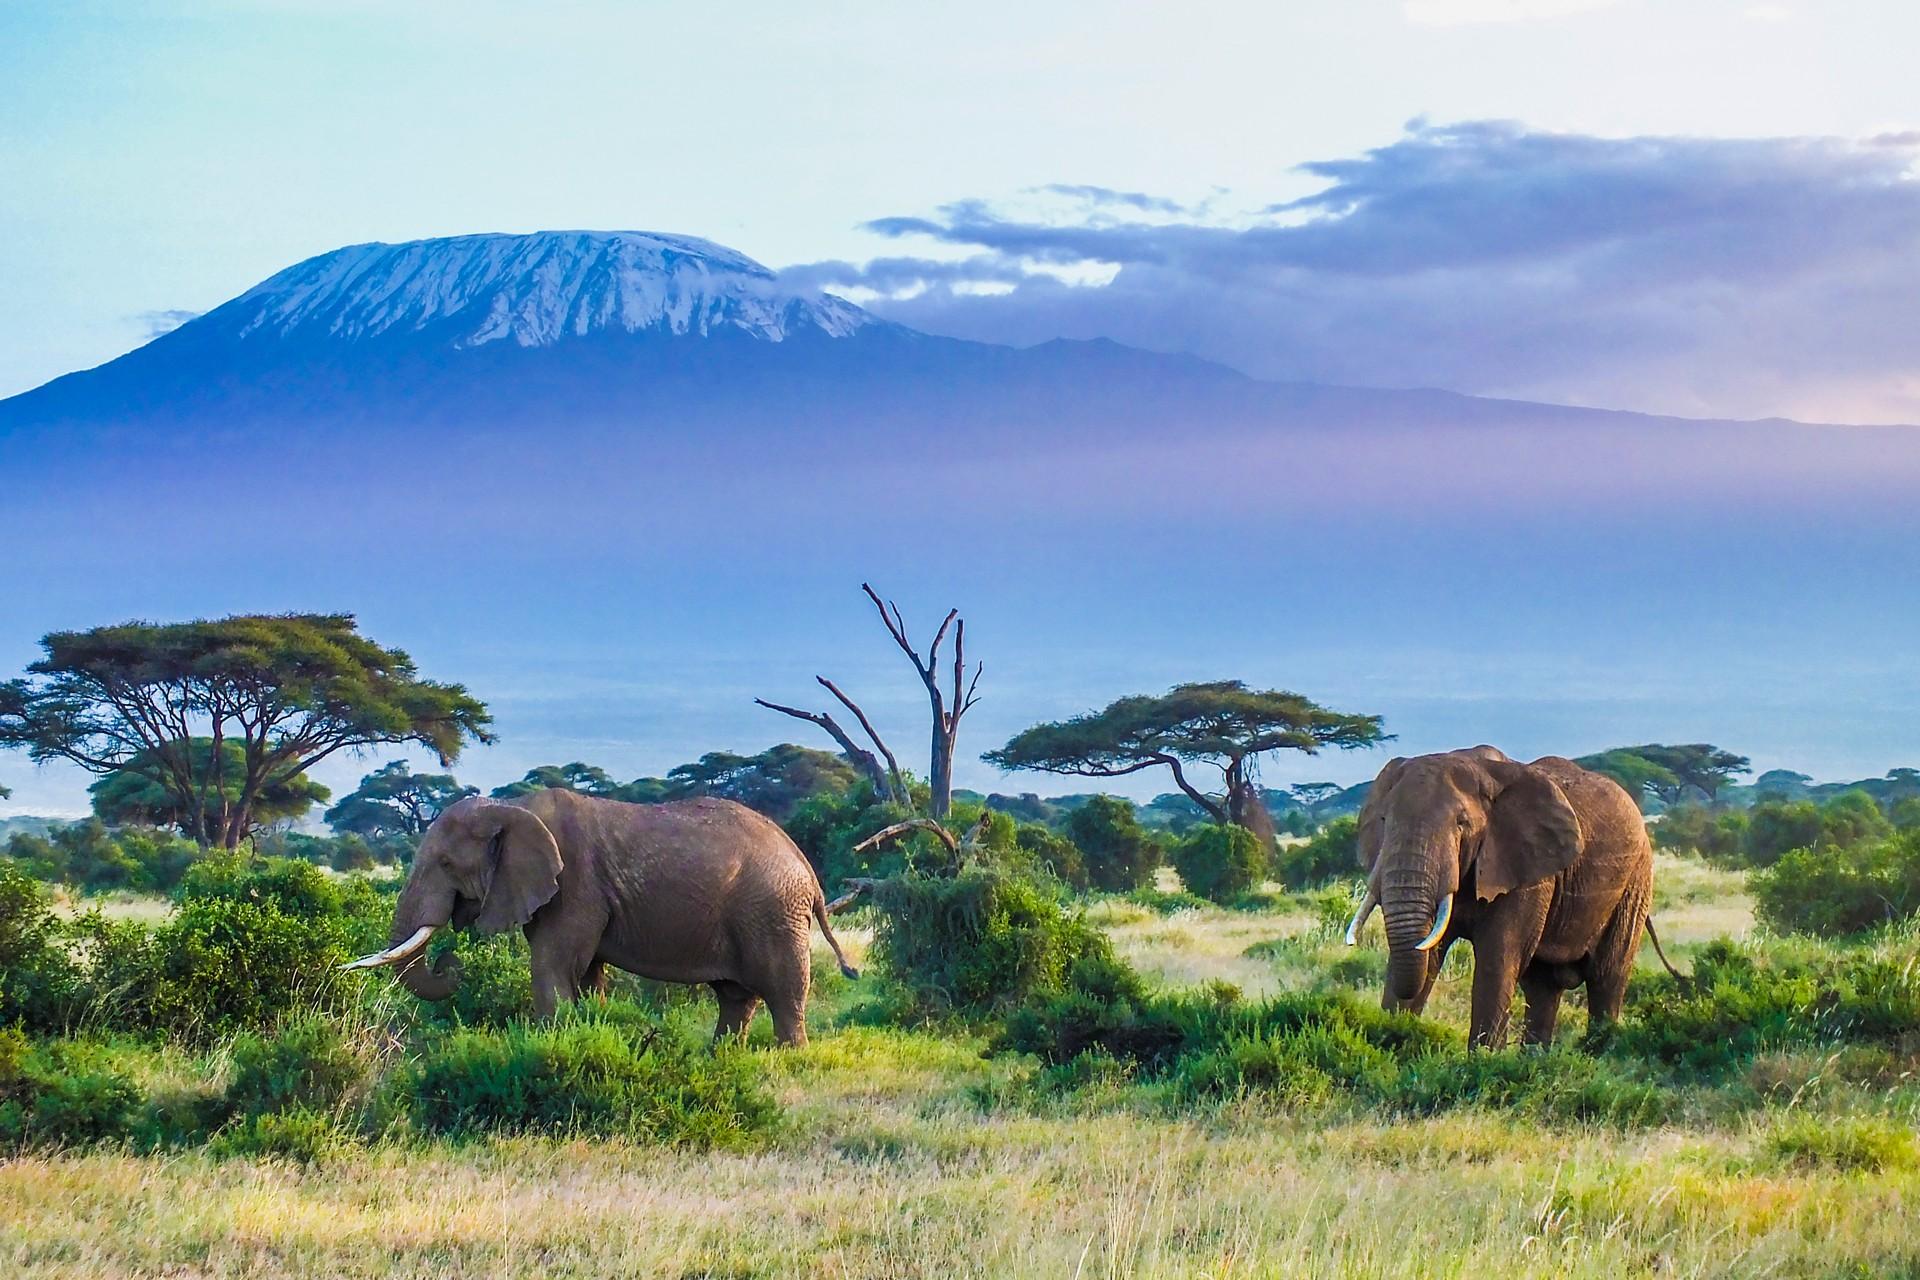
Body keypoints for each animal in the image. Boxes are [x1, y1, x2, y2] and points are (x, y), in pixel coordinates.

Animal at [341, 786, 860, 1043]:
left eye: (447, 864)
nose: (451, 963)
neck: (511, 808)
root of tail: (808, 871)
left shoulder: (575, 886)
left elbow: (552, 966)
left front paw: (550, 1045)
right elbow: (586, 973)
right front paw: (589, 1029)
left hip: (772, 911)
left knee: (783, 992)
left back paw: (788, 1058)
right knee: (735, 996)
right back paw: (721, 1057)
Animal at [1344, 744, 1658, 1043]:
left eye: (1461, 823)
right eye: (1384, 820)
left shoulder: (1526, 870)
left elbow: (1498, 959)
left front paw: (1481, 1059)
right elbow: (1427, 951)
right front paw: (1393, 1042)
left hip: (1636, 882)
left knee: (1607, 977)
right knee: (1543, 986)